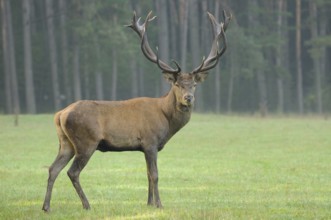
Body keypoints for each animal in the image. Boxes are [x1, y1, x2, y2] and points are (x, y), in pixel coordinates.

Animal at [42, 9, 231, 211]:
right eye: (177, 84)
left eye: (194, 84)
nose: (189, 98)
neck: (166, 118)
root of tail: (60, 114)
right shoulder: (150, 142)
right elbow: (155, 174)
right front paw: (159, 204)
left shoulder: (144, 147)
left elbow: (147, 174)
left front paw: (149, 203)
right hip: (86, 141)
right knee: (72, 172)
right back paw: (87, 205)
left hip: (65, 143)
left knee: (53, 168)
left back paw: (46, 206)